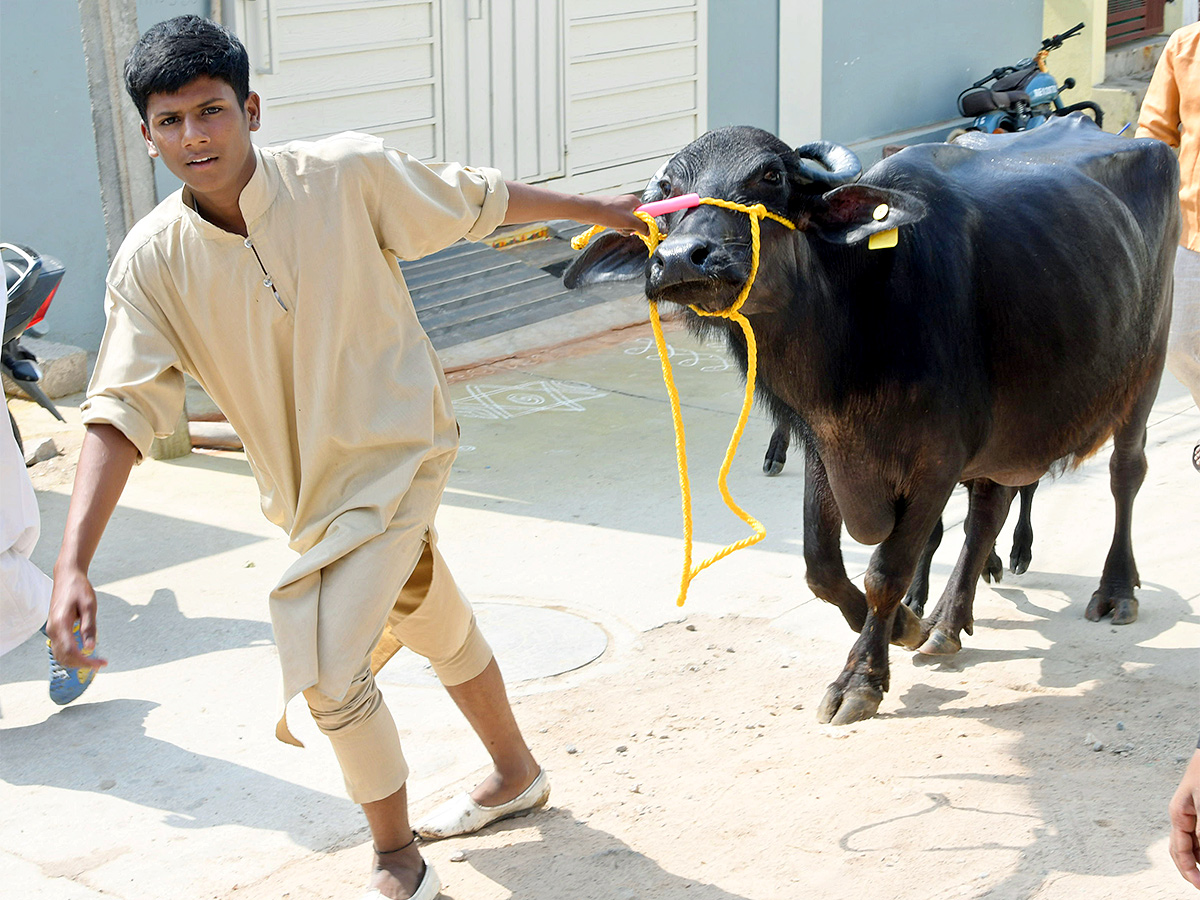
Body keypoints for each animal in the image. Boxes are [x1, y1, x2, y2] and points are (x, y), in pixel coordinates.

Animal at [566, 118, 1176, 724]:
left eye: (770, 176)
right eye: (667, 193)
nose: (678, 258)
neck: (857, 329)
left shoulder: (936, 461)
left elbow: (886, 570)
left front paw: (862, 676)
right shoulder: (826, 442)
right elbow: (821, 567)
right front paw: (907, 624)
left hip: (1148, 368)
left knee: (1124, 474)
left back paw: (1116, 591)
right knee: (988, 510)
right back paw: (945, 624)